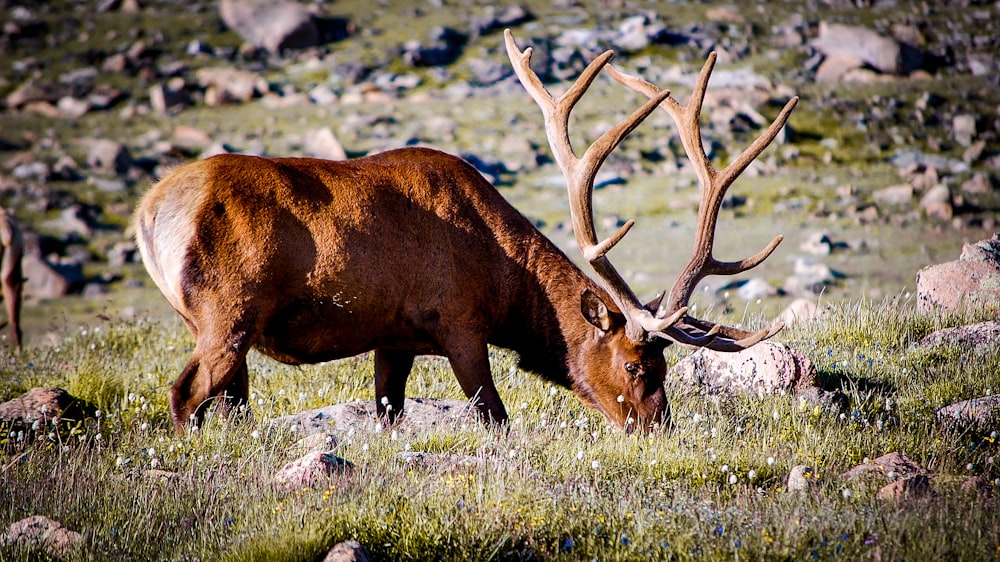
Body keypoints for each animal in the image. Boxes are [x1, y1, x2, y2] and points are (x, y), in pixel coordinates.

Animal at [133, 29, 796, 434]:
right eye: (637, 366)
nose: (659, 428)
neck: (508, 288)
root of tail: (149, 212)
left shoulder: (393, 337)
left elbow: (389, 412)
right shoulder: (459, 323)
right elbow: (496, 417)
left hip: (216, 324)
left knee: (228, 402)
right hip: (228, 311)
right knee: (185, 393)